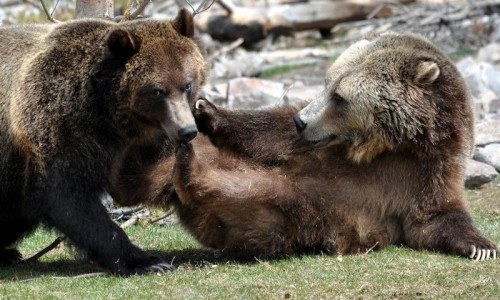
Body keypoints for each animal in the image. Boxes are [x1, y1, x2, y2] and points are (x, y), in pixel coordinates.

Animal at [0, 8, 208, 274]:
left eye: (187, 84)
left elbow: (142, 180)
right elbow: (70, 198)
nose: (187, 130)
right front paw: (146, 261)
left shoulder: (136, 145)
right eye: (157, 91)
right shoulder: (60, 128)